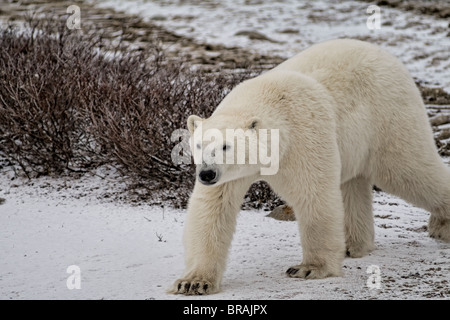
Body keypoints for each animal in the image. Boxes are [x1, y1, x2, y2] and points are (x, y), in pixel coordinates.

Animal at [170, 38, 450, 296]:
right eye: (198, 145)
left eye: (226, 146)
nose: (207, 174)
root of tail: (386, 54)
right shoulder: (228, 176)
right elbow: (212, 209)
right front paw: (193, 282)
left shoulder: (303, 137)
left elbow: (313, 194)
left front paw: (309, 268)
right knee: (353, 184)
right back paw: (353, 245)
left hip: (387, 115)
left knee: (408, 168)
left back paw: (441, 225)